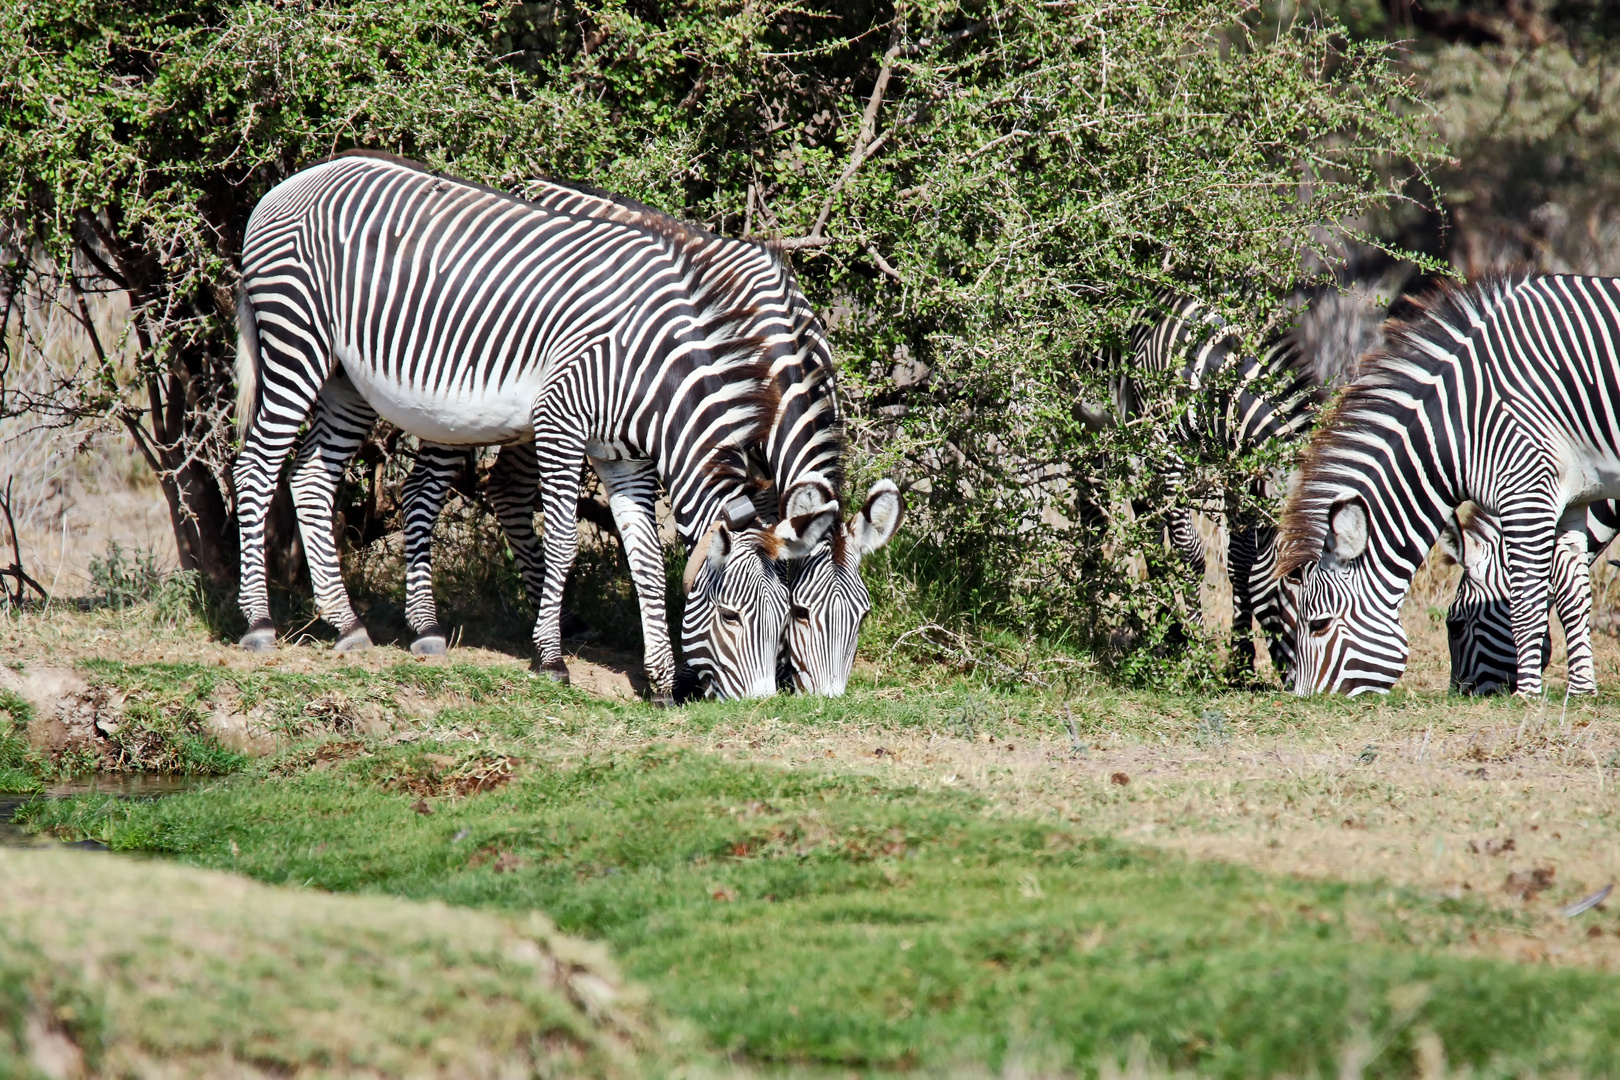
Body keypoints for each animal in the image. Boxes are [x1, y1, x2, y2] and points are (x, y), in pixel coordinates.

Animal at [234, 156, 842, 705]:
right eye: (731, 616)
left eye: (787, 618)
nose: (766, 703)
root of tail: (293, 181)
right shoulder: (559, 422)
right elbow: (565, 543)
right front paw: (552, 660)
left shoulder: (624, 459)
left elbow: (646, 559)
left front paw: (663, 683)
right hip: (297, 338)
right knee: (256, 469)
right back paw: (260, 624)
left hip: (350, 379)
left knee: (313, 478)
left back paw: (349, 625)